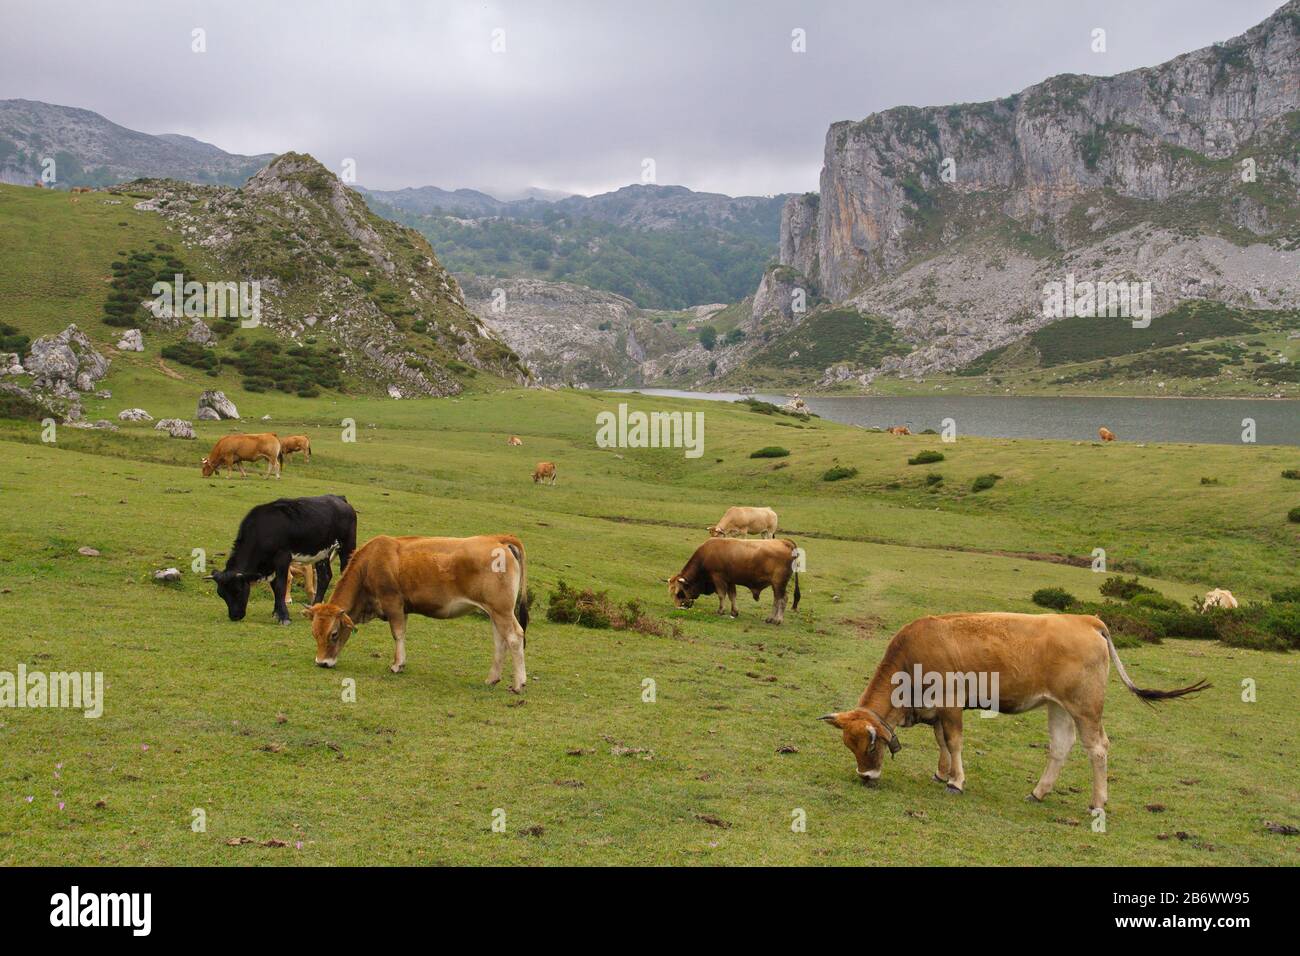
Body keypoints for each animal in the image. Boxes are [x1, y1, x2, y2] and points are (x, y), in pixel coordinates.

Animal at [210, 494, 358, 629]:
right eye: (221, 594)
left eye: (237, 590)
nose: (234, 616)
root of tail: (339, 498)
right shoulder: (270, 565)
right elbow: (275, 586)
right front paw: (276, 612)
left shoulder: (282, 557)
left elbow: (280, 585)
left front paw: (284, 617)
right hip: (323, 553)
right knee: (324, 576)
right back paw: (314, 608)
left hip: (347, 545)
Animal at [301, 535, 530, 691]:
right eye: (314, 633)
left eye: (334, 634)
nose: (321, 662)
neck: (370, 563)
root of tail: (497, 539)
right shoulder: (403, 608)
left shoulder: (393, 603)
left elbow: (397, 634)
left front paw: (397, 665)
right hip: (494, 612)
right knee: (500, 641)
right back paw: (492, 678)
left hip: (502, 610)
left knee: (515, 637)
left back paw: (518, 683)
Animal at [670, 538, 800, 629]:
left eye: (679, 593)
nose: (678, 607)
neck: (706, 554)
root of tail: (784, 542)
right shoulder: (730, 581)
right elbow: (732, 596)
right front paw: (734, 612)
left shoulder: (718, 578)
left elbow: (722, 595)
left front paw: (720, 610)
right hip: (776, 585)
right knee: (776, 600)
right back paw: (770, 618)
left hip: (779, 584)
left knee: (782, 599)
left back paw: (778, 620)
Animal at [821, 613, 1206, 806]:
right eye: (850, 745)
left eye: (871, 743)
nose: (865, 777)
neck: (913, 657)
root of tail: (1085, 619)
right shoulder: (935, 710)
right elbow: (941, 741)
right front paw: (942, 773)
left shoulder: (951, 702)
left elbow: (954, 741)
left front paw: (956, 781)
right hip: (1059, 707)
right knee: (1061, 747)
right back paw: (1039, 792)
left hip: (1085, 708)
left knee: (1097, 748)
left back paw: (1097, 803)